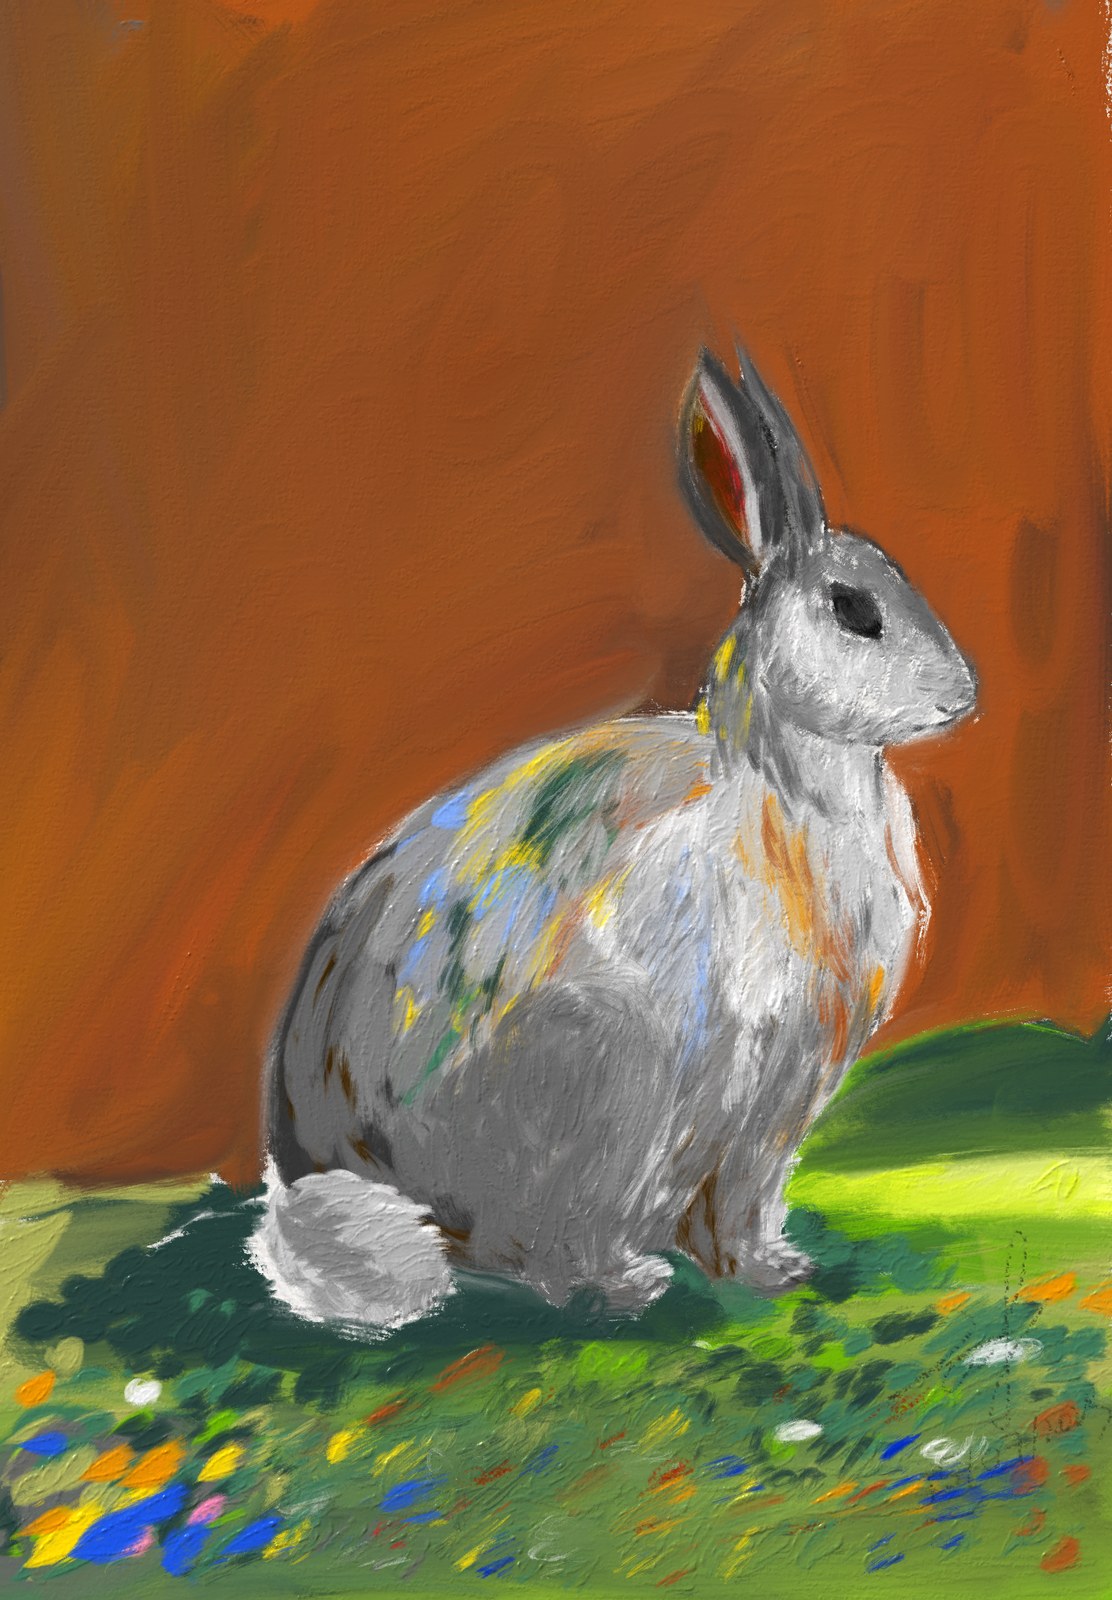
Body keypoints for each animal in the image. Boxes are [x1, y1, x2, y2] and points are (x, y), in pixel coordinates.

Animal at [251, 341, 978, 1332]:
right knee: (531, 1254)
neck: (781, 791)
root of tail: (325, 1168)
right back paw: (622, 1288)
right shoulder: (737, 1082)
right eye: (854, 610)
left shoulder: (776, 1110)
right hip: (601, 1079)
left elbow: (740, 1216)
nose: (964, 696)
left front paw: (774, 1274)